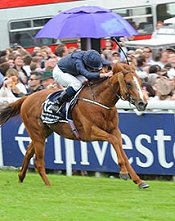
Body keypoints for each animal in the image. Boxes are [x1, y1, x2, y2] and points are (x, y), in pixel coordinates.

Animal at [0, 62, 149, 188]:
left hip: (43, 132)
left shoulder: (114, 129)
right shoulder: (90, 132)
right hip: (37, 134)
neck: (100, 101)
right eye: (128, 83)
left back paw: (21, 177)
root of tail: (27, 97)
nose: (143, 103)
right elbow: (113, 141)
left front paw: (139, 181)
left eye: (140, 82)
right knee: (38, 161)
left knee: (28, 152)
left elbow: (121, 149)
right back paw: (49, 185)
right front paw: (123, 173)